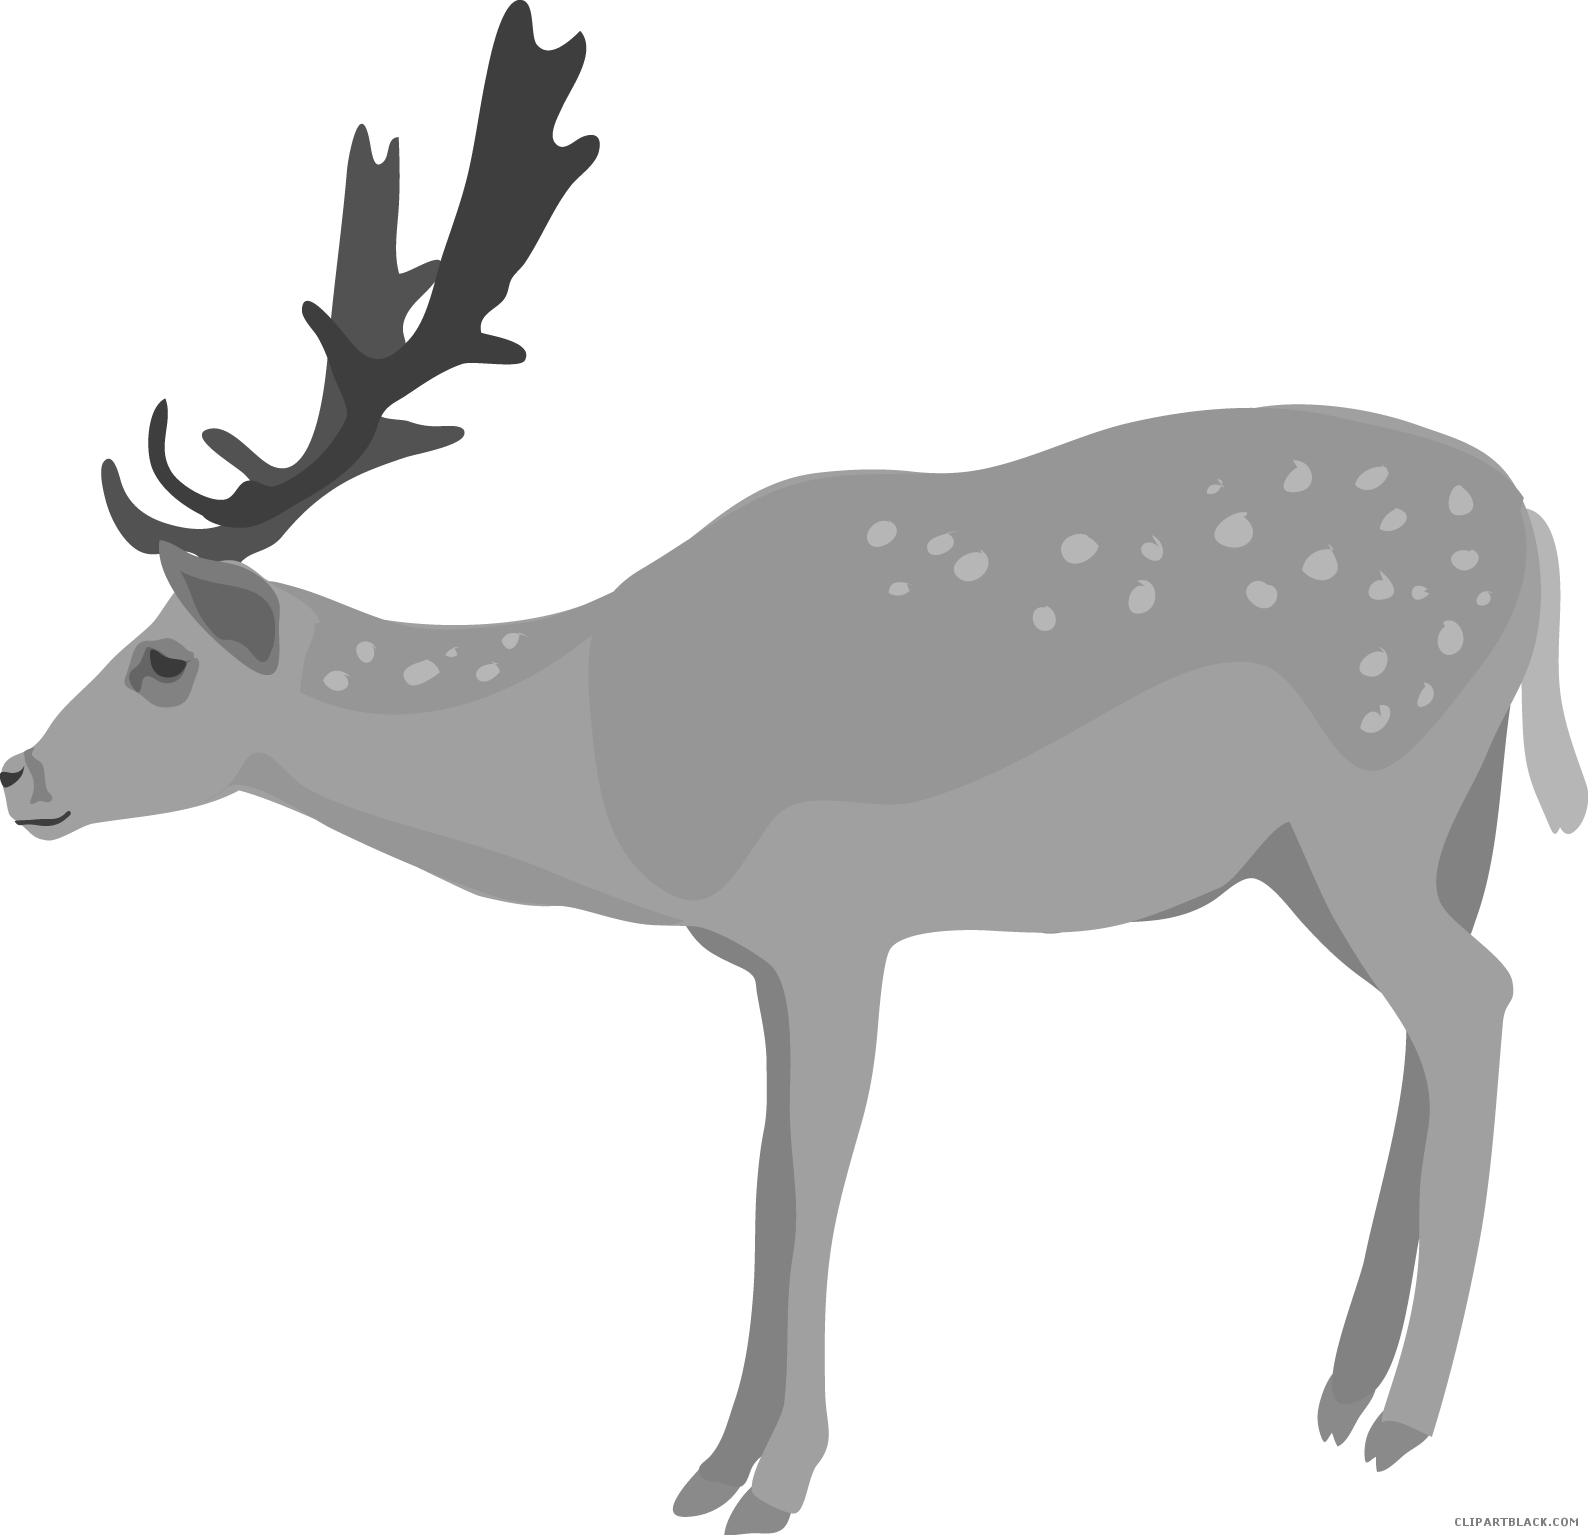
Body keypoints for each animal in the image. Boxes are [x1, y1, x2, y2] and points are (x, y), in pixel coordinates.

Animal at [9, 3, 1583, 1522]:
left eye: (162, 658)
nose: (20, 774)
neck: (612, 768)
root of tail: (1530, 527)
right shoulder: (762, 949)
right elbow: (766, 1176)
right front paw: (710, 1474)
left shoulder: (835, 924)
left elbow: (805, 1178)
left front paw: (771, 1484)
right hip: (1393, 833)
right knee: (1431, 1014)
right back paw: (1340, 1394)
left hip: (1376, 793)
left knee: (1474, 997)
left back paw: (1404, 1420)